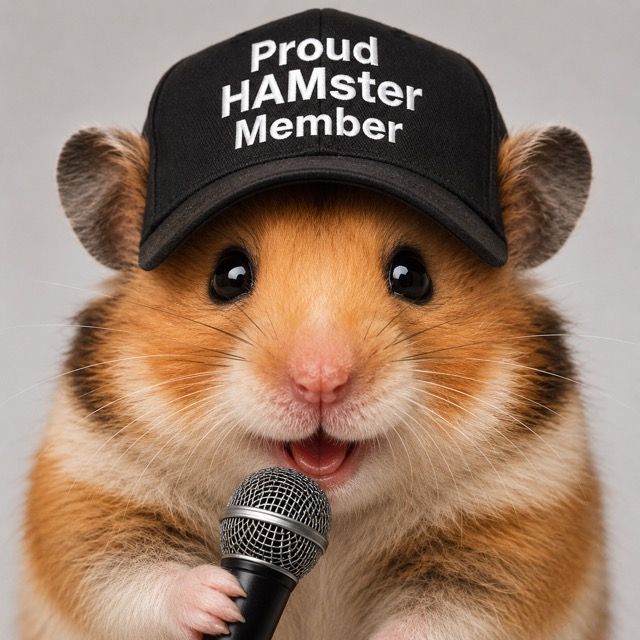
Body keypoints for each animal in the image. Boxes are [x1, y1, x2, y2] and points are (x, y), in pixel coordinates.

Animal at [20, 125, 608, 639]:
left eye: (412, 275)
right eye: (228, 276)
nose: (321, 382)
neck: (334, 518)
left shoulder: (519, 527)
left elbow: (453, 615)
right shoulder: (93, 495)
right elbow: (127, 574)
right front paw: (216, 599)